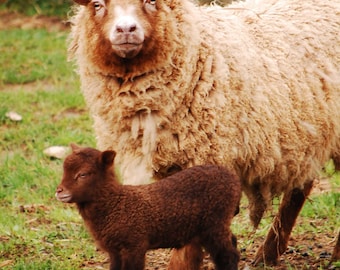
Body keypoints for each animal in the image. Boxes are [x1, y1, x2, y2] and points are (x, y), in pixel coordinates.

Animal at [55, 146, 240, 270]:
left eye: (83, 174)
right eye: (63, 170)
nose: (59, 191)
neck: (115, 204)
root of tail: (232, 178)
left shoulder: (134, 246)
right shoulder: (115, 251)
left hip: (215, 223)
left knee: (228, 256)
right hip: (206, 228)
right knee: (232, 243)